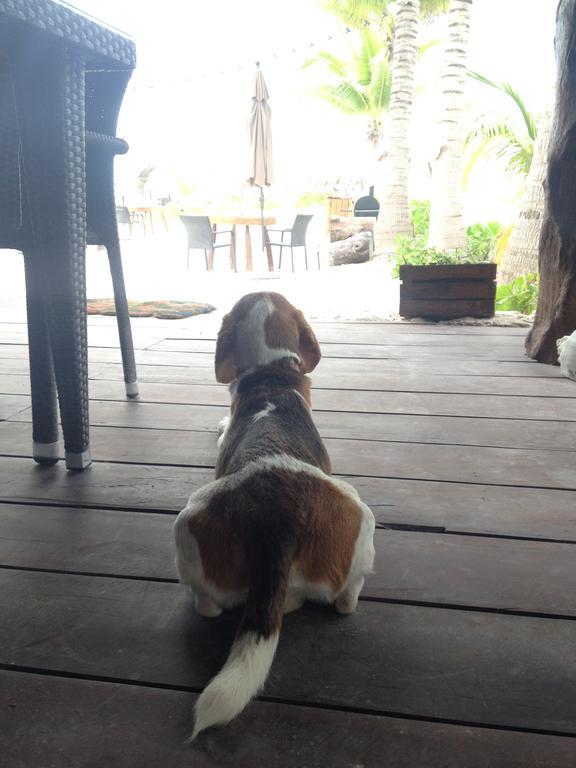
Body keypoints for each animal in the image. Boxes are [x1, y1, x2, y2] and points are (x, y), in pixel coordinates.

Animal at [173, 292, 376, 736]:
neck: (271, 369)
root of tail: (274, 521)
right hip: (358, 512)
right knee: (345, 600)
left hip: (187, 523)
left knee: (209, 605)